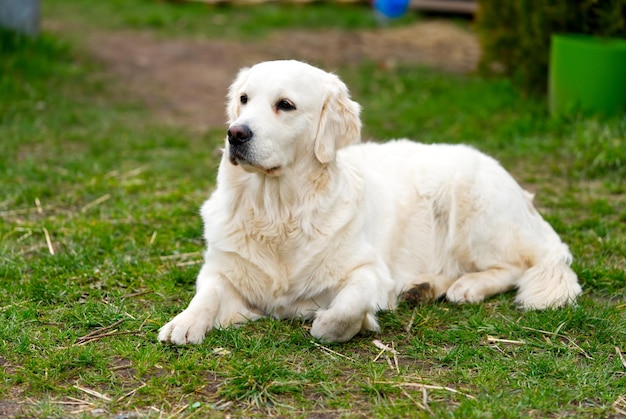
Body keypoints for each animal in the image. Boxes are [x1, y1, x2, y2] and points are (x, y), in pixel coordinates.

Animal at [157, 60, 580, 346]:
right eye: (244, 99)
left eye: (285, 105)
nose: (235, 134)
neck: (278, 210)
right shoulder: (222, 269)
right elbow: (207, 294)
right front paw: (185, 322)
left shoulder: (370, 271)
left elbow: (347, 306)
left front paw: (334, 323)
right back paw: (423, 287)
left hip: (472, 210)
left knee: (521, 264)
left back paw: (470, 286)